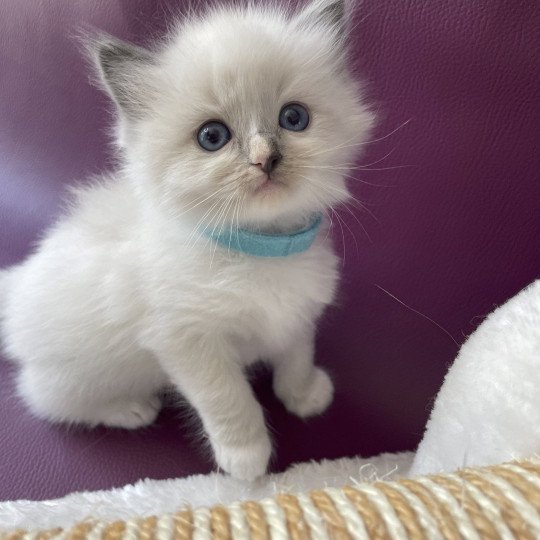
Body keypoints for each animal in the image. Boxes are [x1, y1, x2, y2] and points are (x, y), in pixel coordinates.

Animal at [0, 0, 376, 480]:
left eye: (294, 118)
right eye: (212, 137)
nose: (266, 159)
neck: (260, 248)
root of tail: (17, 286)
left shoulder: (297, 316)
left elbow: (296, 358)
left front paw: (304, 396)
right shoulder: (188, 342)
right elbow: (229, 400)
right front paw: (246, 460)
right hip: (84, 372)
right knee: (44, 399)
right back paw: (131, 409)